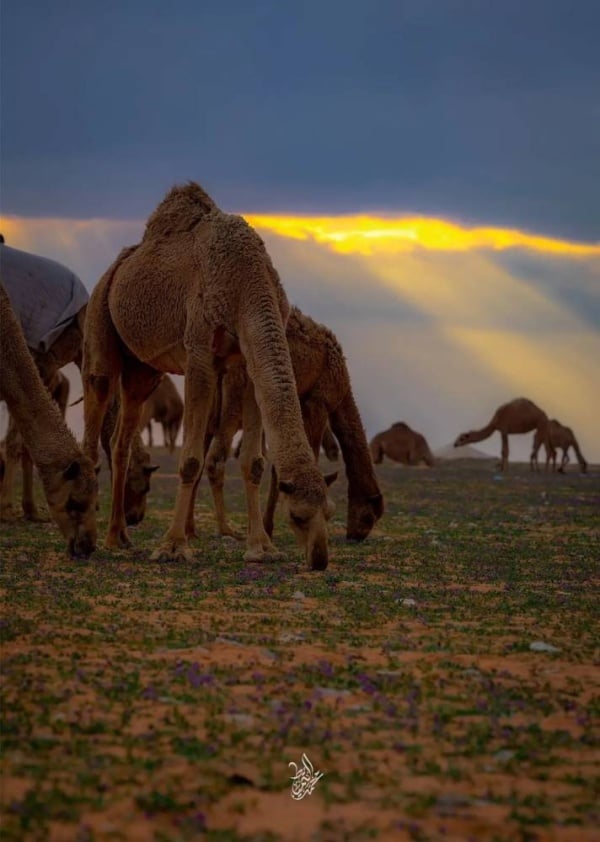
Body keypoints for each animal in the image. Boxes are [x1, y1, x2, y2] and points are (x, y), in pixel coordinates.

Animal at [84, 181, 336, 568]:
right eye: (297, 516)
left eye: (330, 513)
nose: (319, 559)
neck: (247, 280)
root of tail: (118, 265)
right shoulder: (199, 351)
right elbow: (190, 459)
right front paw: (173, 547)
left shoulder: (244, 360)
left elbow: (254, 462)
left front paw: (261, 547)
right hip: (99, 315)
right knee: (97, 388)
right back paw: (87, 537)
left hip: (143, 371)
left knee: (120, 439)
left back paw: (118, 538)